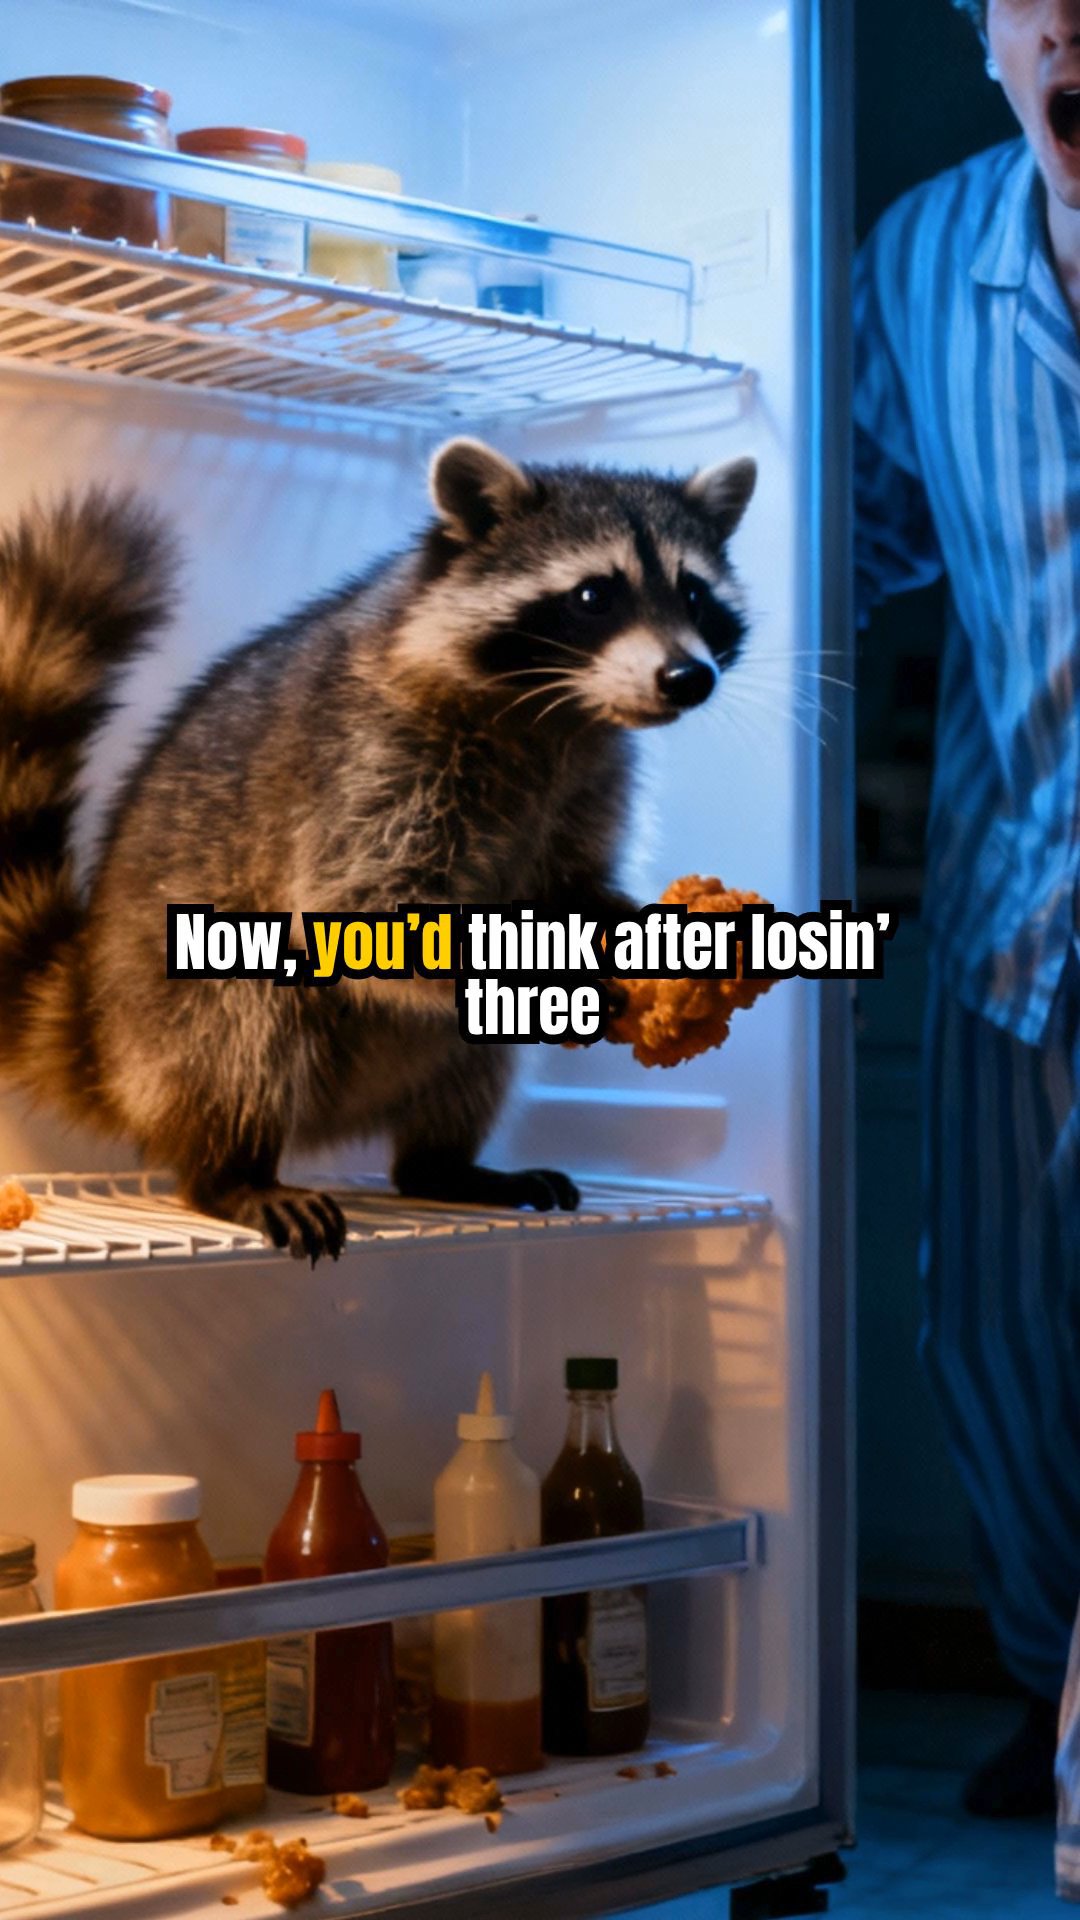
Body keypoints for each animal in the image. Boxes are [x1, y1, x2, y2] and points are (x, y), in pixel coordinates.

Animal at [0, 438, 756, 1260]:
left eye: (695, 597)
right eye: (594, 597)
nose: (689, 677)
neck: (559, 713)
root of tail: (95, 1034)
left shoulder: (591, 776)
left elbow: (570, 885)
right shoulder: (370, 754)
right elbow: (364, 904)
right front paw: (547, 962)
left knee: (477, 1057)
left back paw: (441, 1165)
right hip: (169, 1014)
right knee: (243, 1023)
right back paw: (231, 1173)